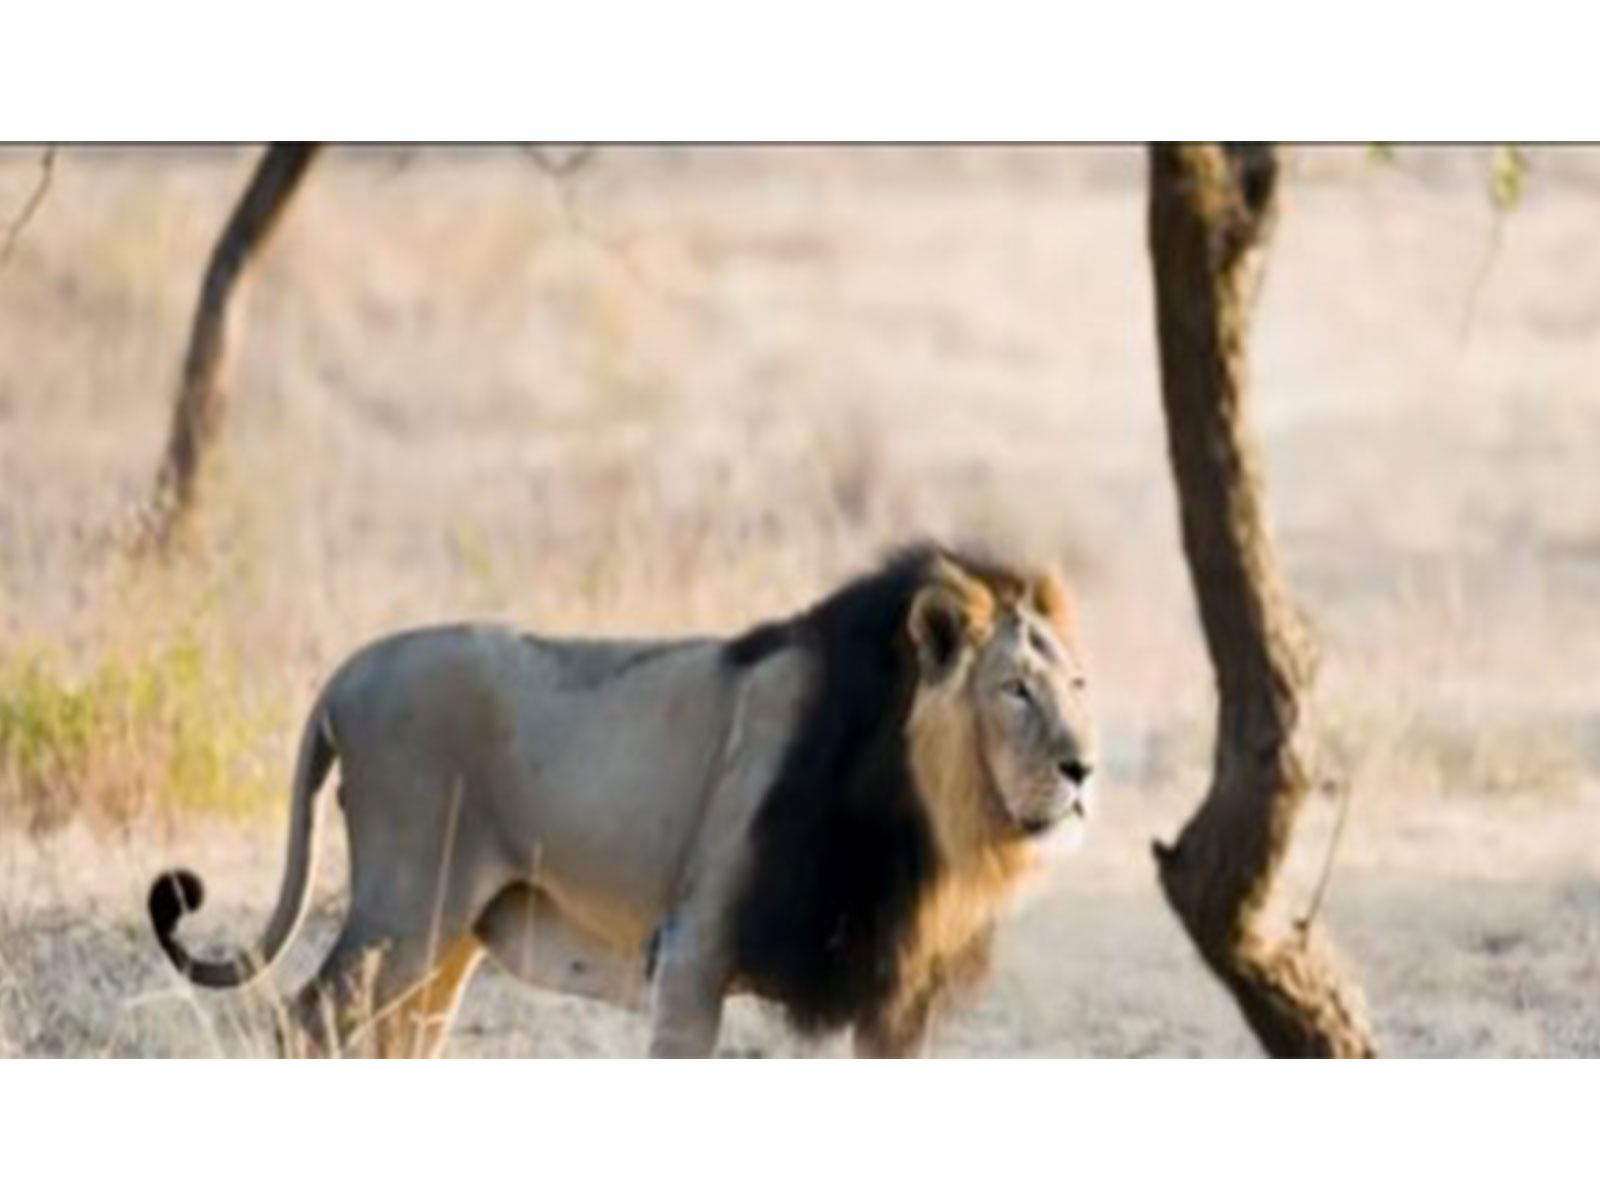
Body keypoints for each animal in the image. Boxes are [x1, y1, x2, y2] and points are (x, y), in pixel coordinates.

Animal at [148, 544, 1096, 1057]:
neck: (936, 822)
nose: (1085, 769)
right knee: (304, 1025)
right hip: (402, 907)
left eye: (1078, 685)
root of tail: (348, 670)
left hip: (448, 936)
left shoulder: (900, 998)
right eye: (1015, 690)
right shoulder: (693, 948)